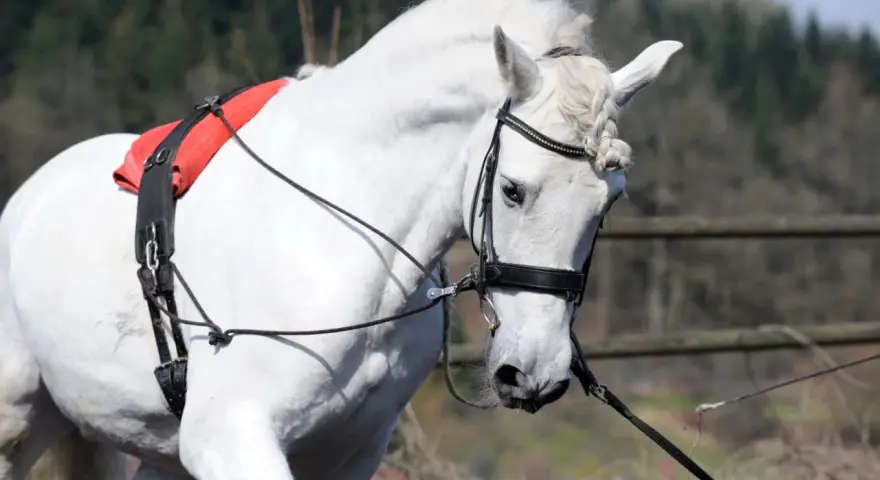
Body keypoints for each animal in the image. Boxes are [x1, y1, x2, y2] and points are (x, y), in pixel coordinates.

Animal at [0, 0, 683, 478]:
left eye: (609, 201)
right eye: (513, 190)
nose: (534, 372)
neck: (347, 238)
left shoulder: (348, 452)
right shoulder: (230, 435)